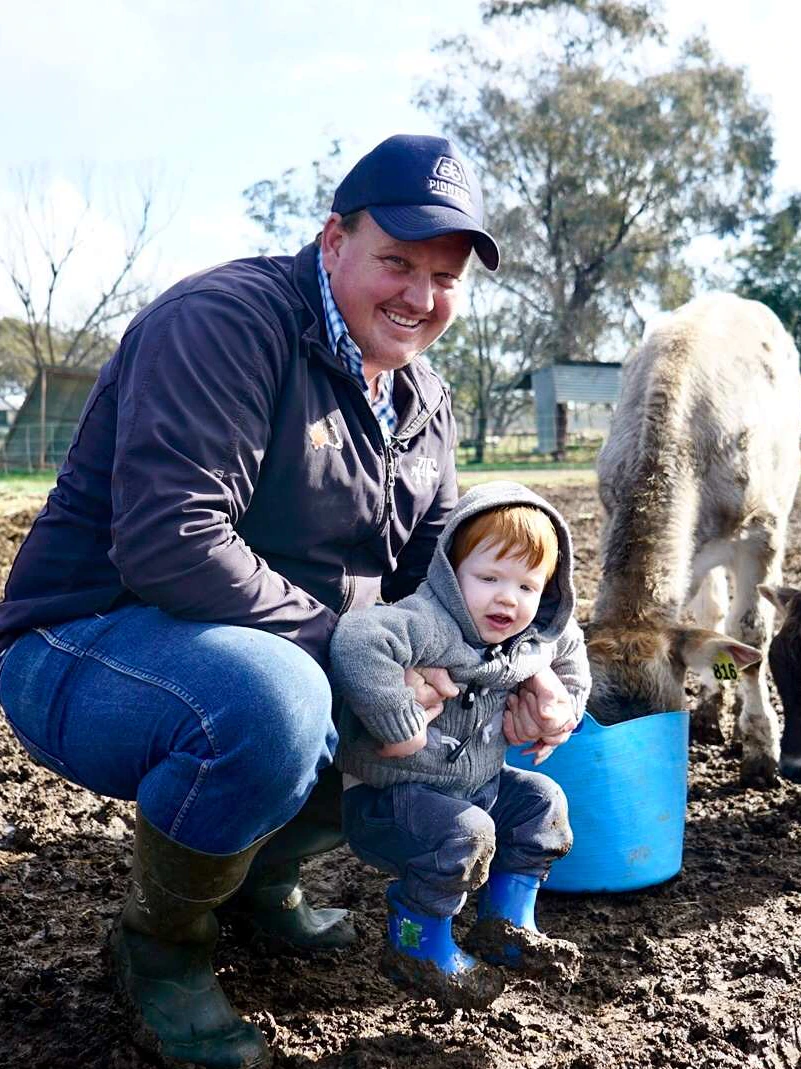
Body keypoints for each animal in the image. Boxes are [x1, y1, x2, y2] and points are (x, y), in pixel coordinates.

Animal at [581, 292, 799, 786]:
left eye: (663, 717)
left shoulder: (762, 531)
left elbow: (752, 635)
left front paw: (761, 750)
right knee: (713, 611)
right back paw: (712, 709)